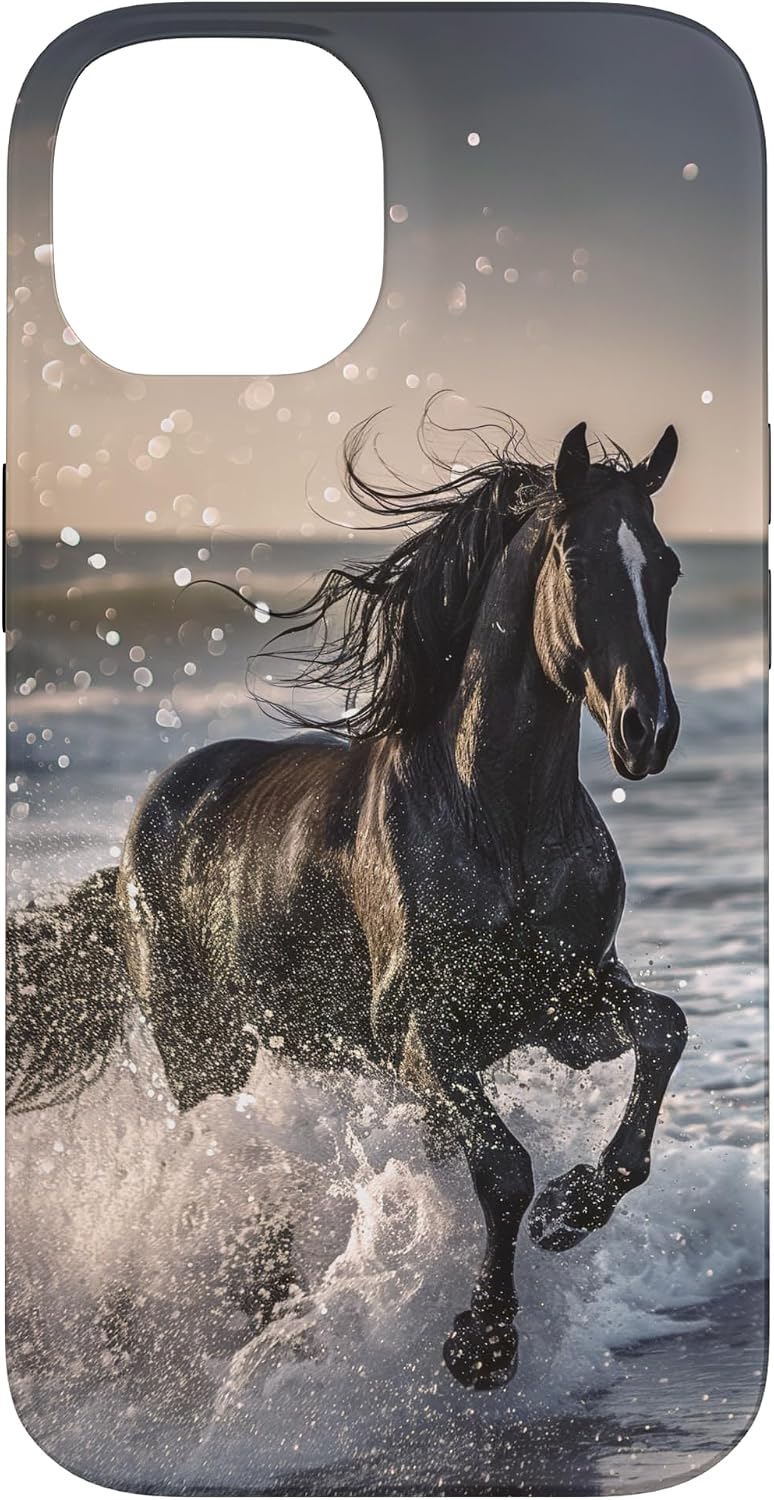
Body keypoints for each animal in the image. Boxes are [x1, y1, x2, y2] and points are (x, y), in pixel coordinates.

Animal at [7, 414, 687, 1391]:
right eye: (581, 563)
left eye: (666, 566)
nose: (650, 731)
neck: (500, 821)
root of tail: (138, 838)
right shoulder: (418, 1029)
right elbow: (503, 1167)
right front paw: (482, 1342)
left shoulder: (564, 1007)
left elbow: (663, 1028)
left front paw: (572, 1211)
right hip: (199, 1048)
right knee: (228, 1161)